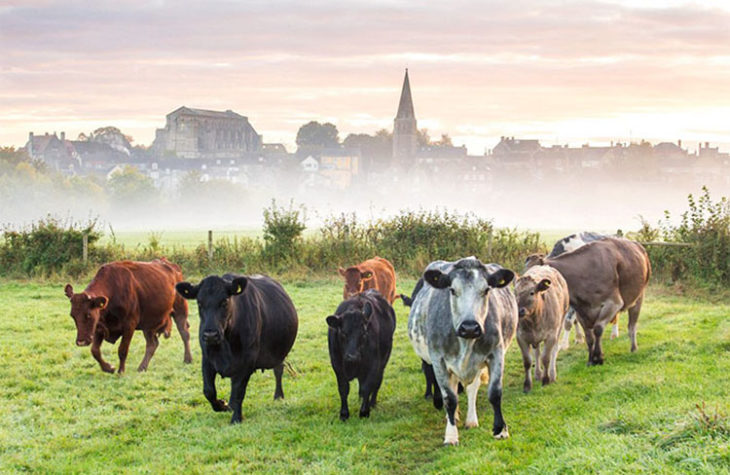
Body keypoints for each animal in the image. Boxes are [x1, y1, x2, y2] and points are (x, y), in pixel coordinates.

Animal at [63, 260, 192, 376]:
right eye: (72, 316)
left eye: (88, 315)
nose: (81, 342)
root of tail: (172, 266)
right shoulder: (99, 327)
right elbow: (95, 351)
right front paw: (109, 368)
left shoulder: (129, 326)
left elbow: (122, 350)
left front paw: (120, 371)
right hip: (148, 324)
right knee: (152, 344)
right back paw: (142, 367)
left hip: (180, 310)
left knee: (184, 333)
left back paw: (188, 359)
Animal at [175, 274, 298, 426]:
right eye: (199, 303)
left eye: (225, 301)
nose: (210, 335)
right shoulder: (207, 359)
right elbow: (209, 391)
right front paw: (223, 405)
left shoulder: (246, 362)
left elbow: (239, 391)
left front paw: (236, 418)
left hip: (278, 353)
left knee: (278, 370)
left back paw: (278, 396)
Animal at [324, 288, 392, 422]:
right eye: (342, 333)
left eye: (364, 333)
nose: (352, 356)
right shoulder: (337, 366)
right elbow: (343, 389)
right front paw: (344, 414)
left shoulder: (373, 364)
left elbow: (367, 387)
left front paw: (364, 412)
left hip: (383, 362)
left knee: (377, 382)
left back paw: (372, 403)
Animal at [404, 256, 516, 446]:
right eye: (452, 290)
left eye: (486, 290)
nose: (469, 327)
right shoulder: (439, 360)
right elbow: (449, 398)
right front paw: (451, 435)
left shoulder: (496, 353)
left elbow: (494, 393)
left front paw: (500, 429)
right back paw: (454, 417)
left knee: (471, 388)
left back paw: (471, 420)